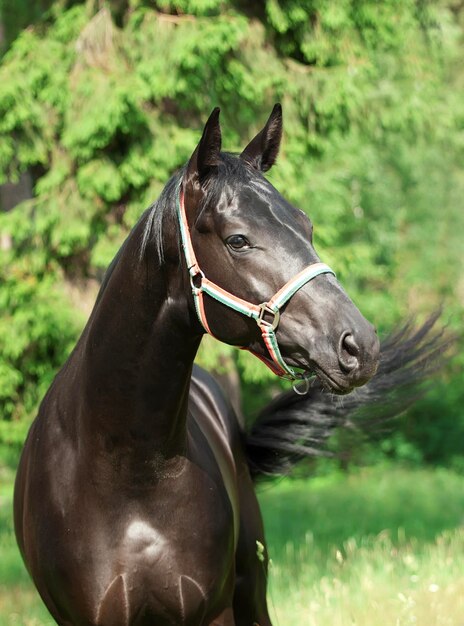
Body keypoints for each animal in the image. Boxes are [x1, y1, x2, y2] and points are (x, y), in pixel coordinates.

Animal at [14, 107, 440, 624]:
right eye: (238, 240)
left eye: (307, 226)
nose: (360, 345)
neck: (128, 472)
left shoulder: (213, 610)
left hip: (252, 590)